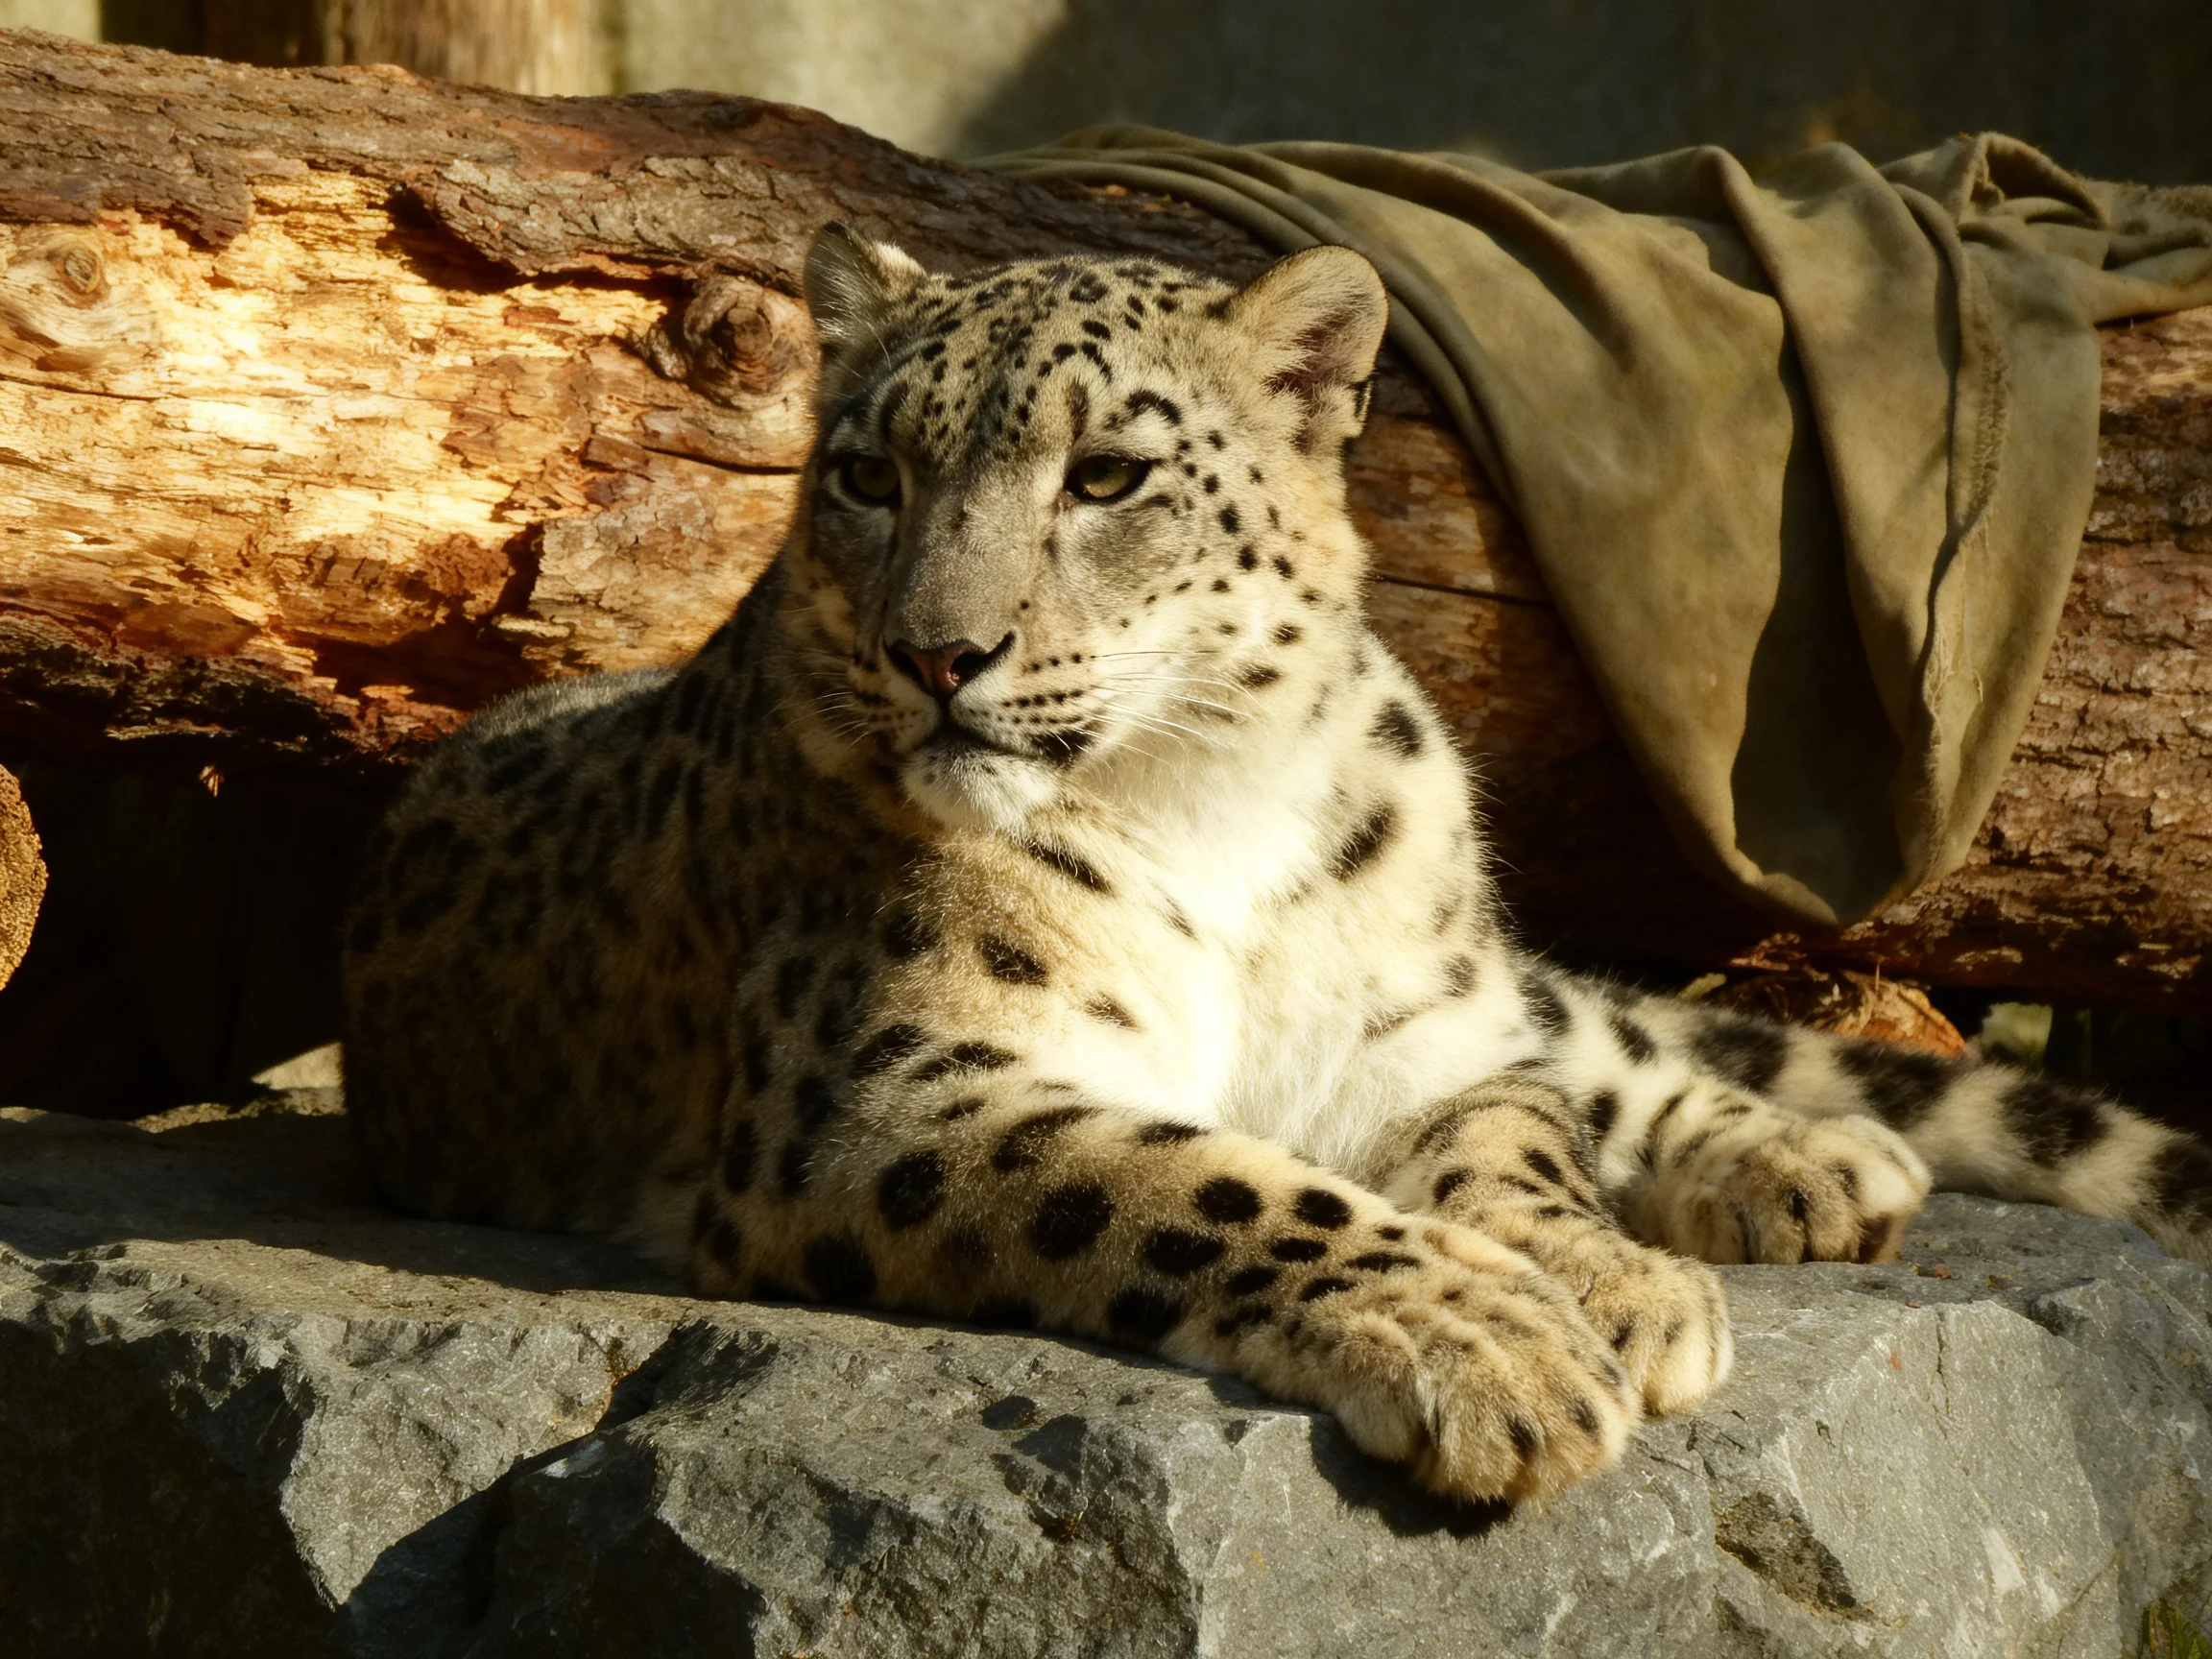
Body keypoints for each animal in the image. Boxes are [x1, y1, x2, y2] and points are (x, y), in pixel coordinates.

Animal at [342, 224, 2212, 1506]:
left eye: (1105, 474)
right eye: (866, 474)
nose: (933, 653)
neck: (1203, 803)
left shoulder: (1421, 1045)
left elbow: (1519, 1148)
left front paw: (1602, 1284)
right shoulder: (885, 1092)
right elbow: (1203, 1183)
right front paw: (1491, 1345)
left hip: (1480, 968)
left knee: (1602, 1040)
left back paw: (1812, 1162)